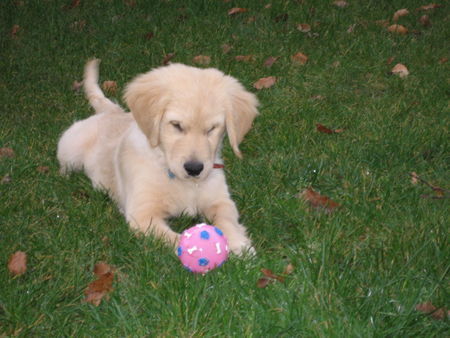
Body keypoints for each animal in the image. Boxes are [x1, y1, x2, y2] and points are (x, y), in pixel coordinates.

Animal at [58, 60, 258, 255]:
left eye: (212, 129)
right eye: (176, 125)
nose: (194, 169)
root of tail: (113, 112)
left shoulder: (220, 200)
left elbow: (227, 220)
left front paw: (240, 244)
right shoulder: (143, 214)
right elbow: (173, 238)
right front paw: (196, 251)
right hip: (70, 147)